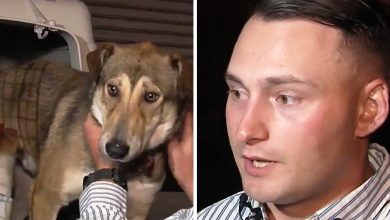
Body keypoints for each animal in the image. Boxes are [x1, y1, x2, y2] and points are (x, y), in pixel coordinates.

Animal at [0, 42, 190, 219]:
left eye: (151, 96)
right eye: (112, 89)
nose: (115, 150)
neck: (127, 169)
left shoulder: (138, 208)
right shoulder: (45, 196)